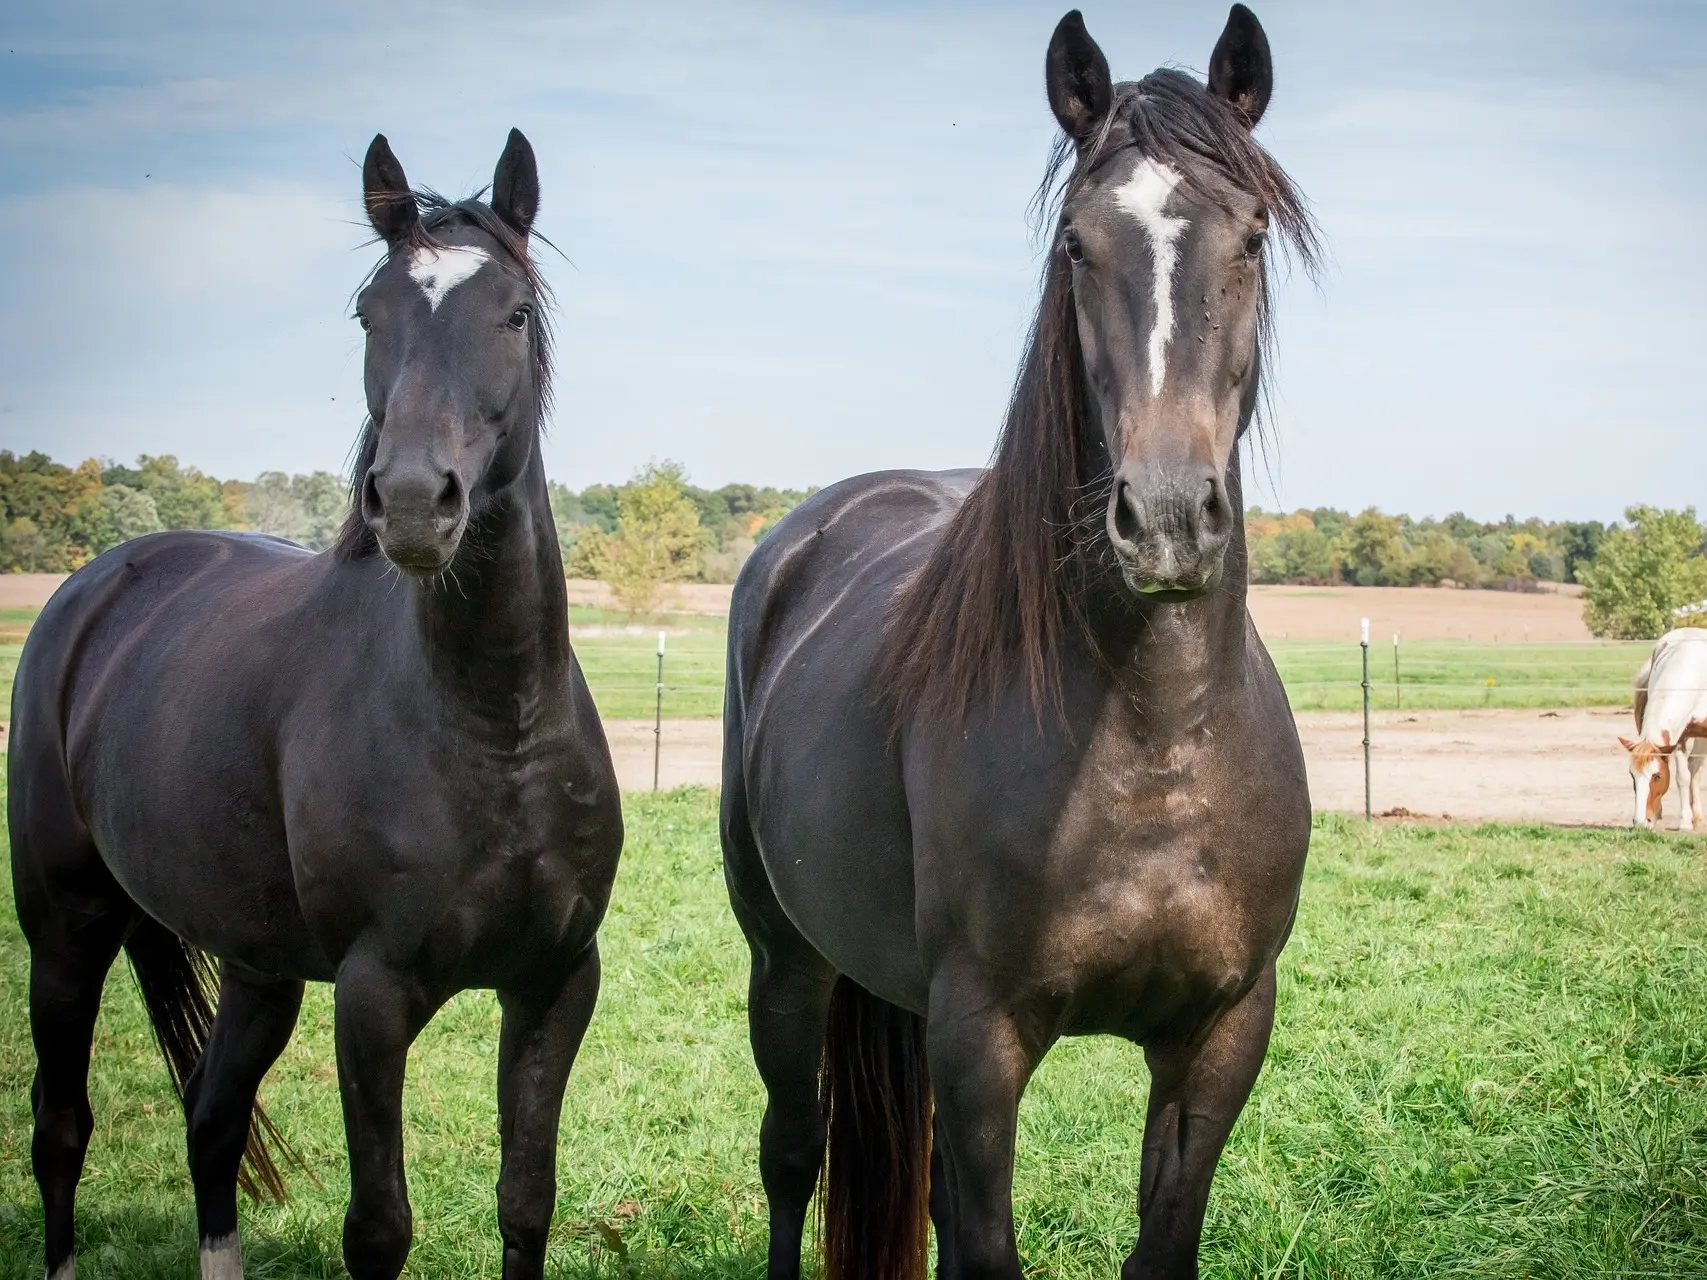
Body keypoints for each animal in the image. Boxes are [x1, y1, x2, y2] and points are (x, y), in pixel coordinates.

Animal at [10, 133, 624, 1280]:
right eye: (369, 313)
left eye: (514, 312)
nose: (416, 501)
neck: (493, 728)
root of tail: (96, 584)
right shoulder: (373, 997)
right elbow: (378, 1227)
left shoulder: (555, 982)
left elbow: (527, 1201)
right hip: (66, 928)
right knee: (60, 1127)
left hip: (257, 965)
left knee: (211, 1118)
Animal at [720, 10, 1317, 1280]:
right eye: (1078, 245)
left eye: (1250, 234)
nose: (1168, 515)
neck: (1154, 733)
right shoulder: (981, 1037)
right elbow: (981, 1240)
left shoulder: (1221, 1033)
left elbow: (1157, 1241)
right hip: (785, 960)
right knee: (792, 1154)